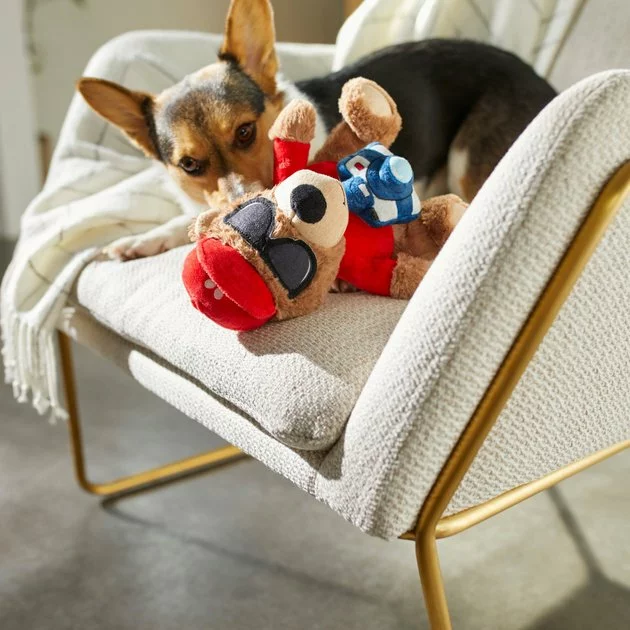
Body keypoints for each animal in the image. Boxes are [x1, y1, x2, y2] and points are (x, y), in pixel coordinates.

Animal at [77, 0, 556, 261]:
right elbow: (187, 219)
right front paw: (143, 239)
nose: (241, 211)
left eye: (246, 132)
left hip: (467, 157)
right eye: (190, 165)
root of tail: (545, 83)